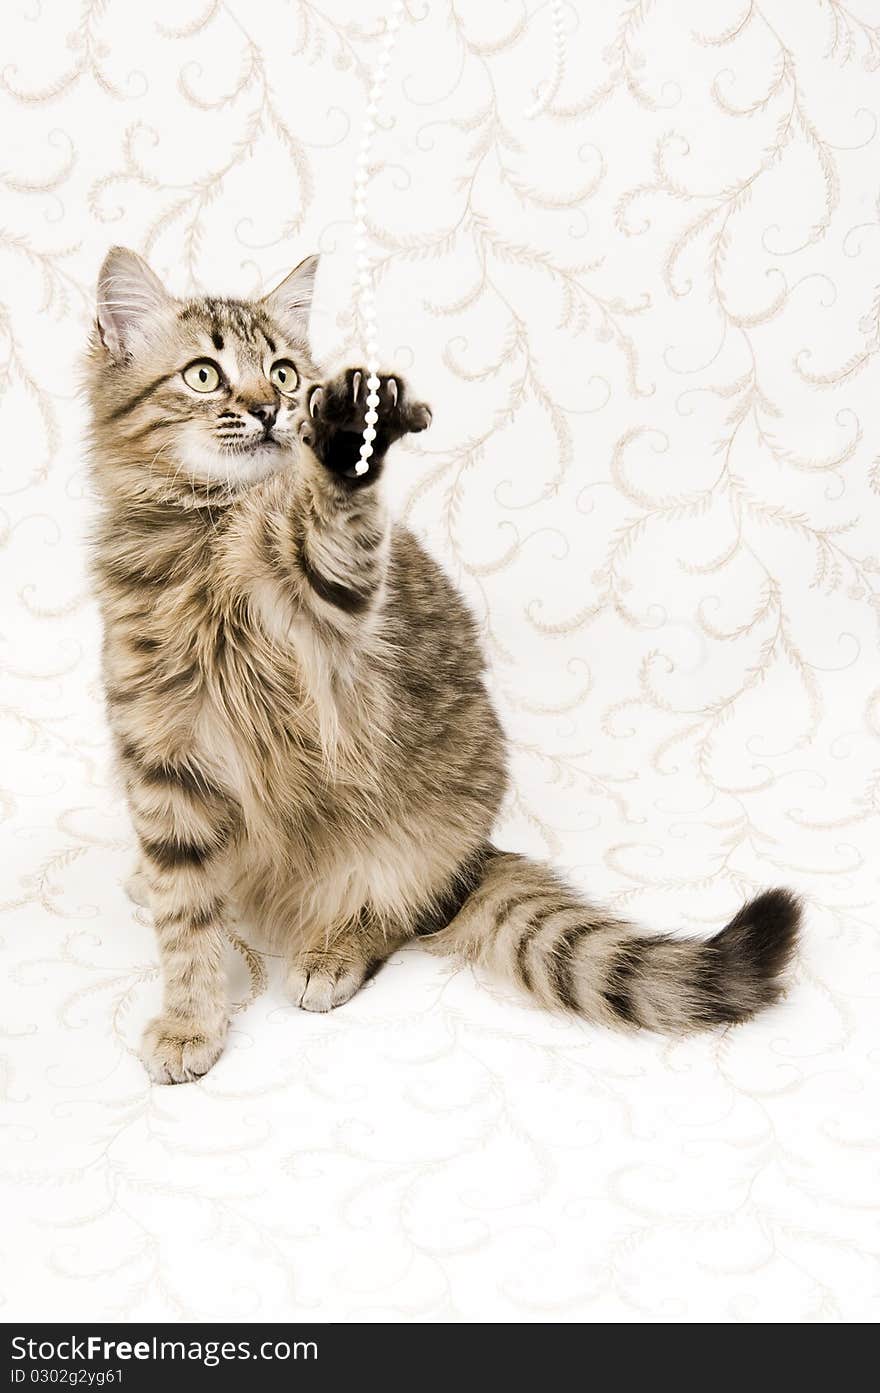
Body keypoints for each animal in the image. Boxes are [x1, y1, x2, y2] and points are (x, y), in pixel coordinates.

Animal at [85, 245, 802, 1080]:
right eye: (204, 374)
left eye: (286, 374)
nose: (269, 409)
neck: (201, 536)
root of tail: (473, 851)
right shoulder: (159, 750)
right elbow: (185, 916)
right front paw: (190, 1017)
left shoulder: (332, 623)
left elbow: (332, 536)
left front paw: (347, 443)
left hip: (406, 840)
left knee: (407, 910)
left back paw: (334, 951)